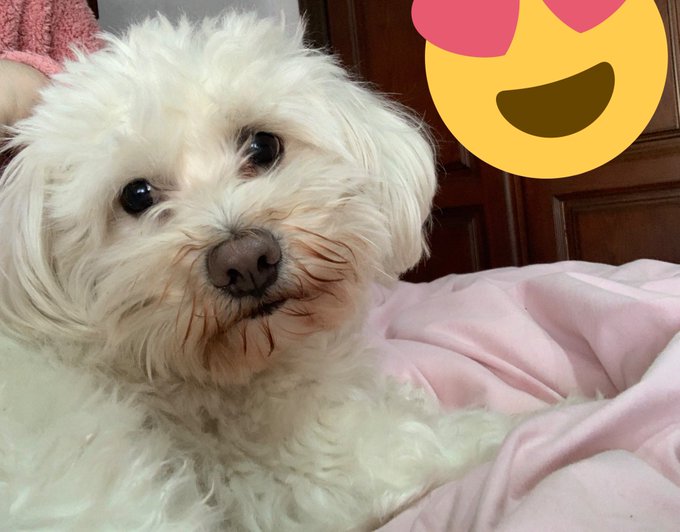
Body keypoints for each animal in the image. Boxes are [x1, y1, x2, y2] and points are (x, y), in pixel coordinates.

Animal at [0, 13, 513, 531]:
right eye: (136, 195)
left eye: (263, 146)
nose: (245, 261)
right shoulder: (323, 469)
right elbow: (454, 440)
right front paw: (521, 421)